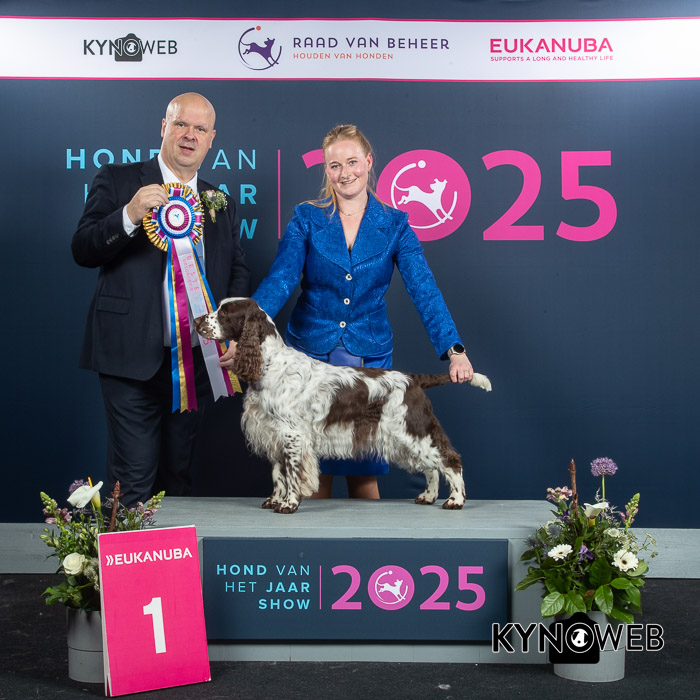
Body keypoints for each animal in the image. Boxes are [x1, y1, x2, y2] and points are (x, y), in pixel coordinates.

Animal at [195, 298, 491, 514]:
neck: (269, 364)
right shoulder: (274, 433)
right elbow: (279, 473)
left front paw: (289, 504)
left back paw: (456, 500)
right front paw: (275, 500)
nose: (197, 321)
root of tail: (413, 379)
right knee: (430, 467)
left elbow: (292, 473)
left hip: (413, 430)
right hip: (404, 437)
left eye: (225, 313)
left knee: (450, 460)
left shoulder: (293, 434)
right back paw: (428, 497)